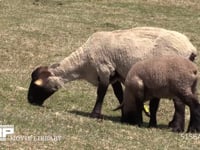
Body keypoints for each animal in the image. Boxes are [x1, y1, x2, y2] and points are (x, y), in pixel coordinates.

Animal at [27, 27, 197, 132]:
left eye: (36, 85)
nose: (30, 100)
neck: (83, 62)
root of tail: (191, 48)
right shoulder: (115, 76)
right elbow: (119, 95)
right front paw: (123, 116)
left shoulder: (104, 69)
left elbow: (100, 93)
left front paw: (95, 114)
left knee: (179, 101)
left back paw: (176, 126)